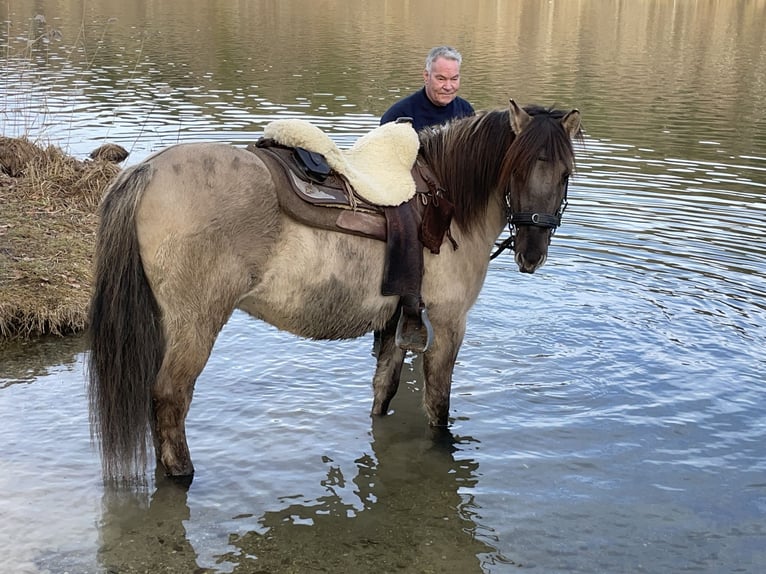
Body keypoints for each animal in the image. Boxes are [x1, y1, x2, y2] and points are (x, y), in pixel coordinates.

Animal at [87, 99, 584, 482]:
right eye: (517, 169)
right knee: (170, 398)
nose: (532, 252)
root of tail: (147, 171)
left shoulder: (397, 324)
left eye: (565, 174)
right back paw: (183, 477)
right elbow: (438, 407)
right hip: (196, 324)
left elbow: (383, 392)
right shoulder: (447, 326)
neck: (448, 201)